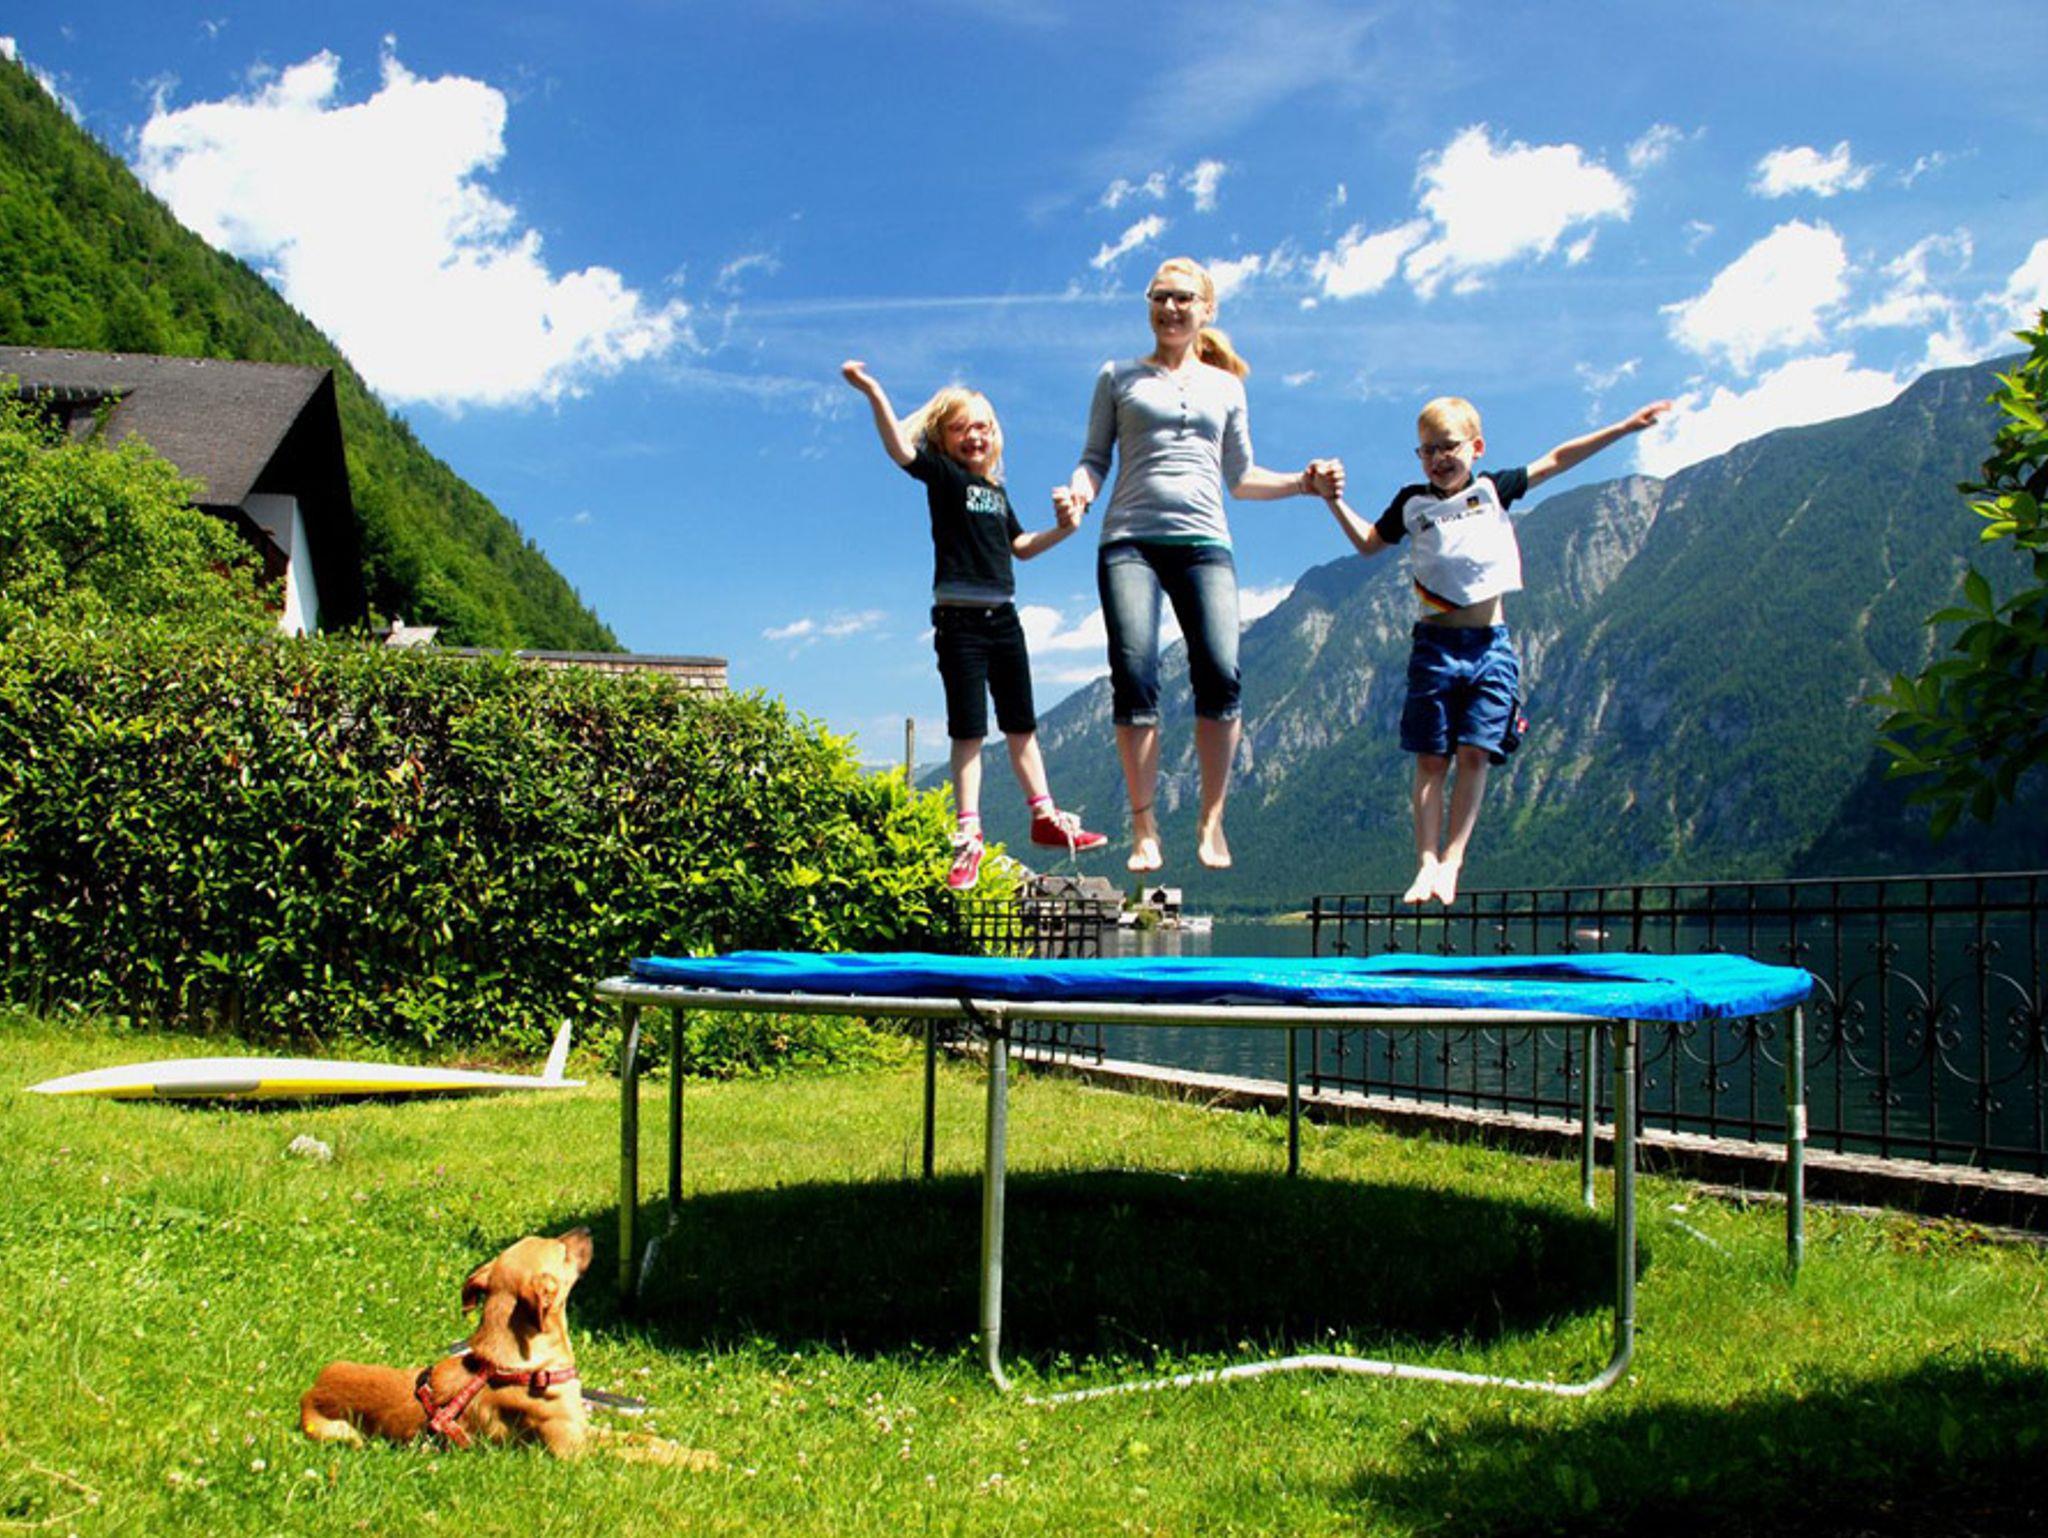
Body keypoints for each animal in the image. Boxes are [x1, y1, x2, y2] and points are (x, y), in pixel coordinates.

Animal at [300, 1226, 715, 1467]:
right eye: (561, 1250)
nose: (586, 1227)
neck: (528, 1365)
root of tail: (309, 1392)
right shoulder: (572, 1452)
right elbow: (631, 1453)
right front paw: (692, 1462)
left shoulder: (583, 1428)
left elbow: (641, 1438)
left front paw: (694, 1454)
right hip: (341, 1433)